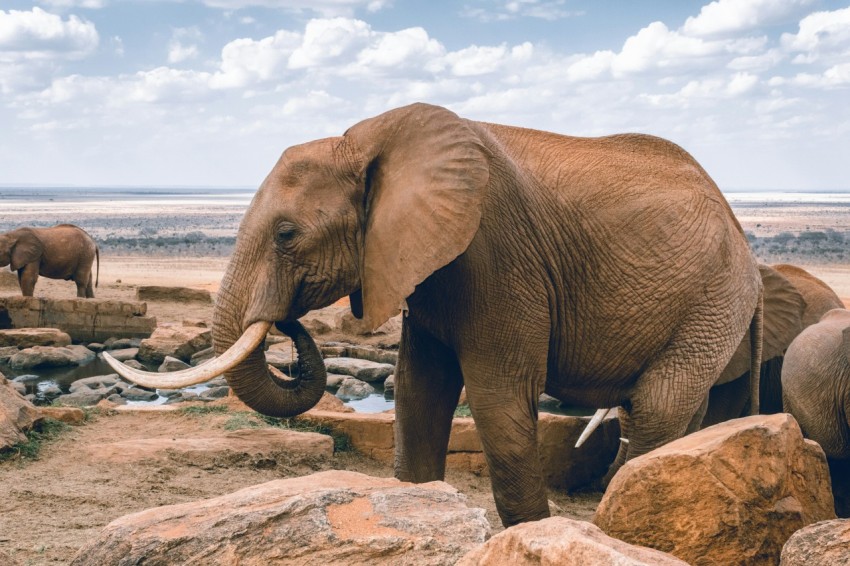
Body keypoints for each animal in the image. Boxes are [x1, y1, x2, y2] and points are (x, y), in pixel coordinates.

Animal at [104, 103, 763, 526]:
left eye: (287, 235)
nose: (287, 323)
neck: (366, 141)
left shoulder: (497, 251)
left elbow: (497, 400)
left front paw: (531, 533)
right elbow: (418, 390)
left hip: (715, 294)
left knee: (658, 405)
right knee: (680, 409)